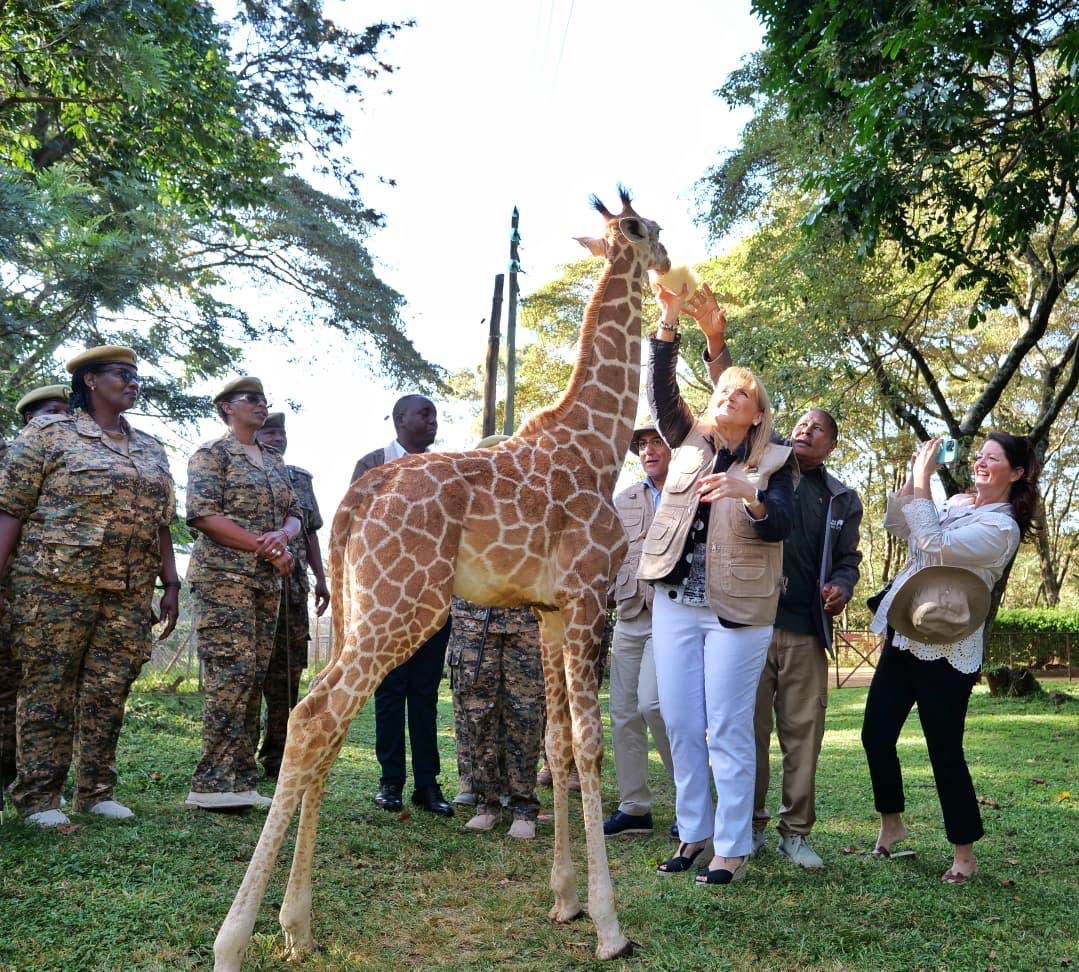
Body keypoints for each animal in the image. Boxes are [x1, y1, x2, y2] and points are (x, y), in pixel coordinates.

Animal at [212, 188, 670, 970]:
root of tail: (356, 498)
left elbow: (553, 746)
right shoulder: (587, 600)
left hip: (362, 611)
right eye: (648, 230)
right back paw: (233, 941)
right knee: (311, 719)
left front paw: (565, 900)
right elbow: (587, 744)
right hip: (406, 607)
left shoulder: (549, 611)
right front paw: (609, 927)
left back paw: (298, 926)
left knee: (326, 726)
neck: (597, 445)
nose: (669, 260)